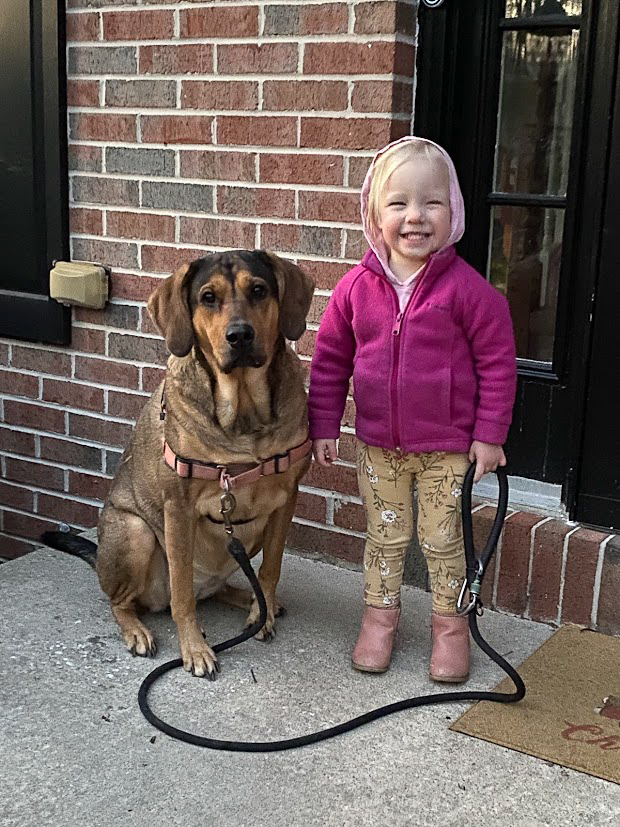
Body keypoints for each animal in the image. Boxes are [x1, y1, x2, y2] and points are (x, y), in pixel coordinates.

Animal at [47, 252, 312, 680]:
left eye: (259, 290)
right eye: (208, 297)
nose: (240, 336)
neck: (243, 417)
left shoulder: (286, 499)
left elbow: (270, 570)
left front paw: (264, 611)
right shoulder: (178, 508)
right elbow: (182, 596)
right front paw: (195, 649)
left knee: (221, 587)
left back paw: (253, 603)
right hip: (135, 531)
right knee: (127, 602)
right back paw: (137, 629)